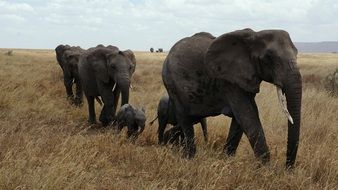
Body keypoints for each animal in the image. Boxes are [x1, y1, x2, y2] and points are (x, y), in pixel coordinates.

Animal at [162, 29, 302, 168]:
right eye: (269, 57)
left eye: (297, 53)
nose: (287, 168)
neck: (255, 35)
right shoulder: (229, 81)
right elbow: (247, 116)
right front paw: (266, 169)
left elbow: (242, 118)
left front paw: (227, 160)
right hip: (172, 86)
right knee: (185, 120)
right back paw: (190, 158)